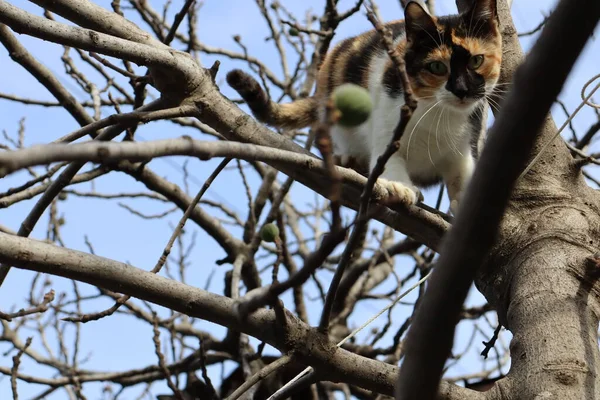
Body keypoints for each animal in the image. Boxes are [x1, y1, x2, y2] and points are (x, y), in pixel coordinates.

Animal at [227, 0, 504, 212]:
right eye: (437, 67)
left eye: (477, 61)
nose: (461, 89)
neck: (438, 112)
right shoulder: (388, 121)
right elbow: (387, 156)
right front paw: (401, 187)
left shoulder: (464, 147)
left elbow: (461, 174)